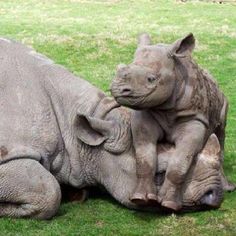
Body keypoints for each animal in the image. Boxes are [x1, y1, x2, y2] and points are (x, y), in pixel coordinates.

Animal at [111, 32, 234, 210]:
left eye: (151, 79)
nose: (119, 90)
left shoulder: (194, 119)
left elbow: (179, 163)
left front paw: (168, 204)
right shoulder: (145, 114)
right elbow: (144, 159)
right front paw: (140, 198)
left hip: (223, 100)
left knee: (220, 132)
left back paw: (228, 187)